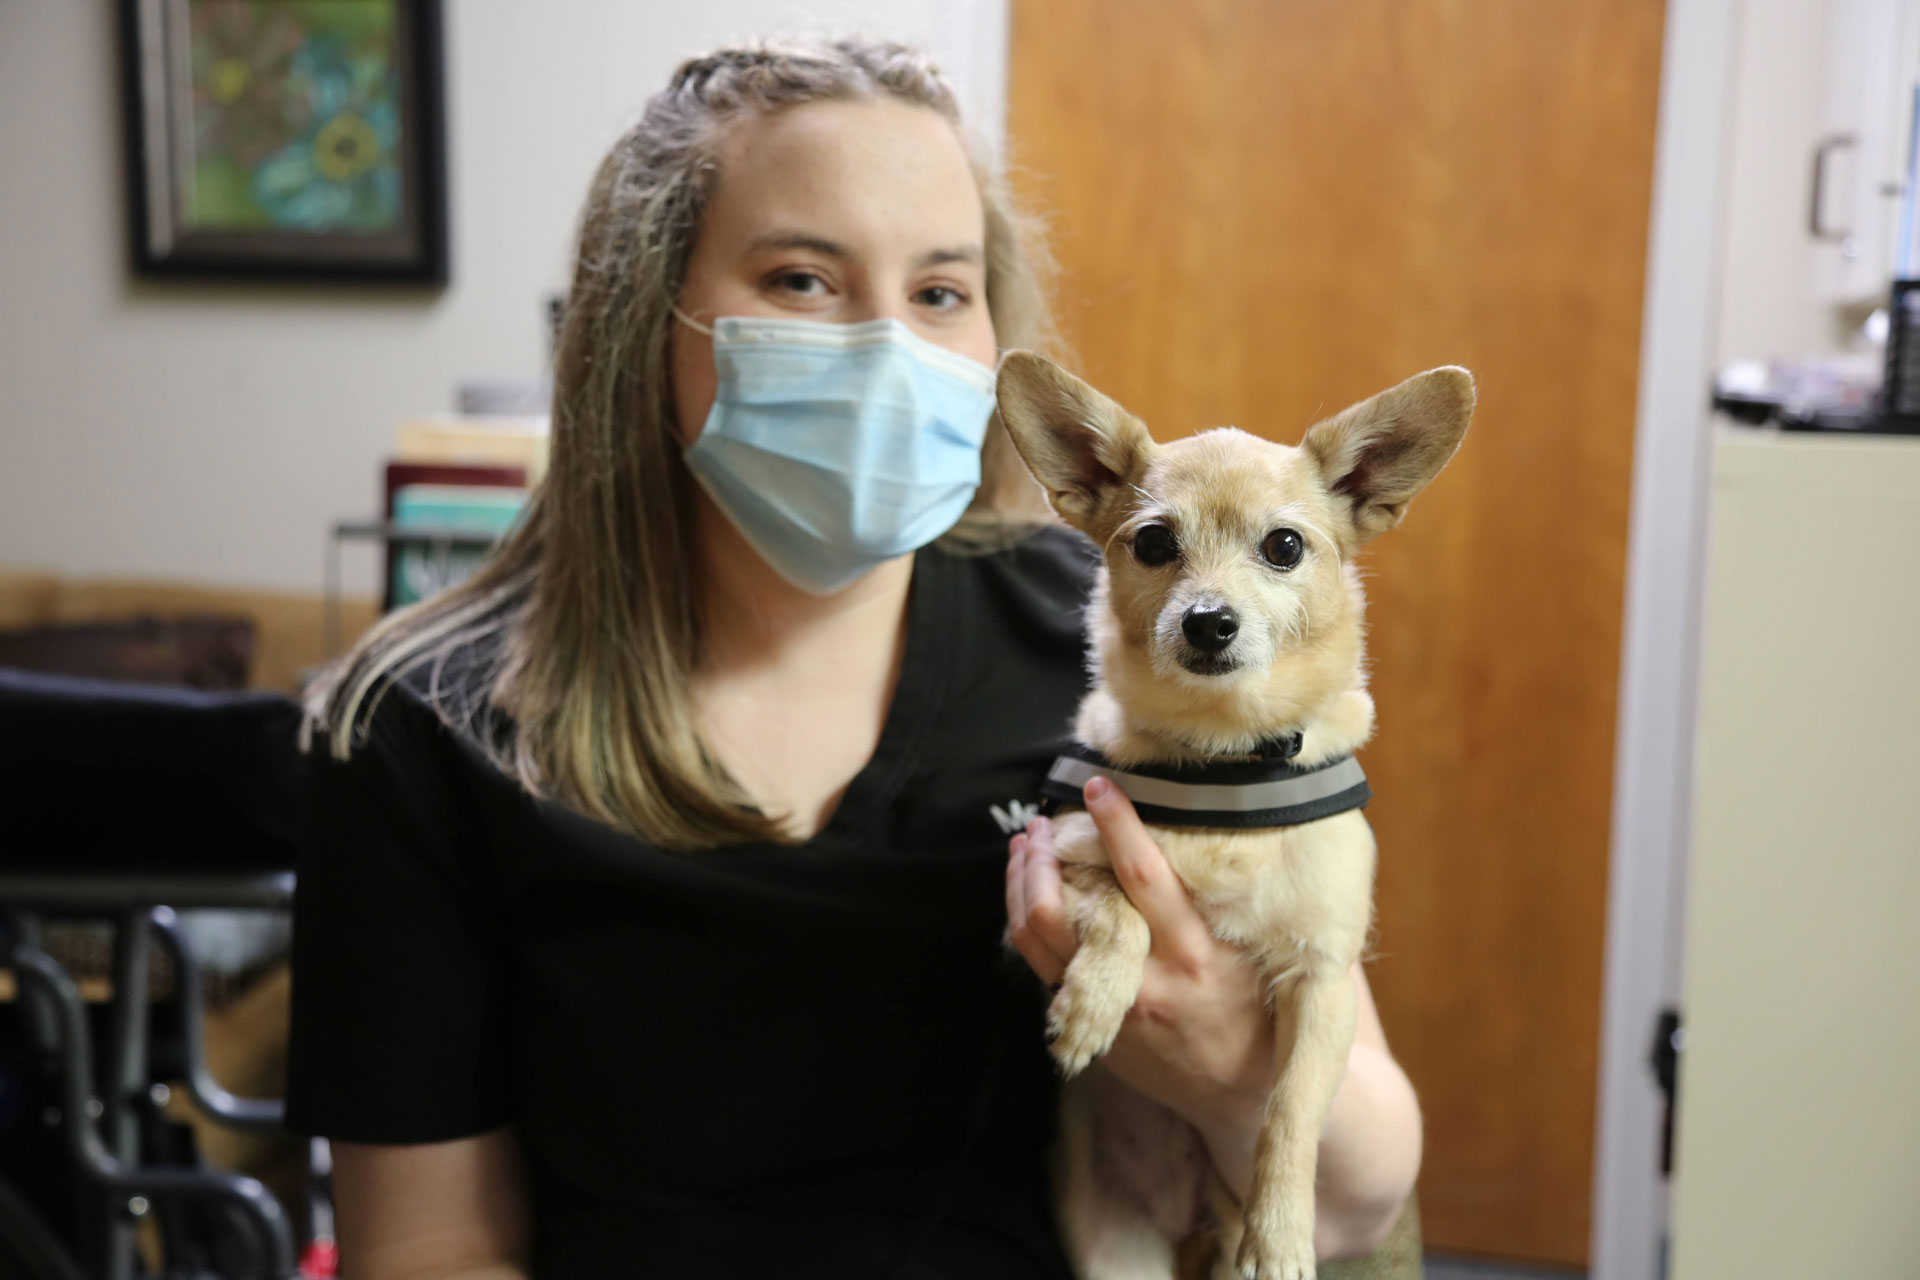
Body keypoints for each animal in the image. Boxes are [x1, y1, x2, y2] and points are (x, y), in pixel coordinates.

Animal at [990, 353, 1466, 1280]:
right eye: (1153, 544)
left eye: (1284, 547)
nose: (1209, 622)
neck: (1227, 760)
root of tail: (1187, 1227)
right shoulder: (1056, 857)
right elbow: (1123, 909)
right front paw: (1090, 1006)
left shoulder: (1323, 981)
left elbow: (1290, 1115)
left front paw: (1279, 1235)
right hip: (1113, 1250)